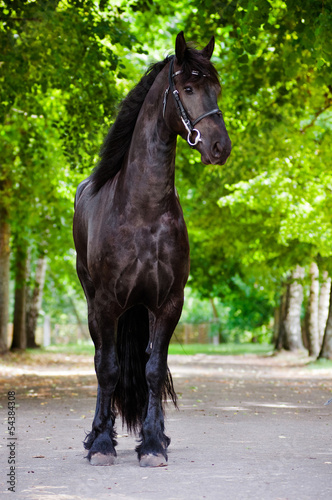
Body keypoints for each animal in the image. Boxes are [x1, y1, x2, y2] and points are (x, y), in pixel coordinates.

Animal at [73, 31, 231, 466]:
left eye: (217, 88)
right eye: (188, 88)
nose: (220, 147)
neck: (143, 210)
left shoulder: (168, 302)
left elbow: (154, 370)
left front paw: (154, 443)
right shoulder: (107, 303)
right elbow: (108, 368)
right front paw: (103, 444)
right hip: (94, 304)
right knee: (101, 360)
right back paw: (97, 434)